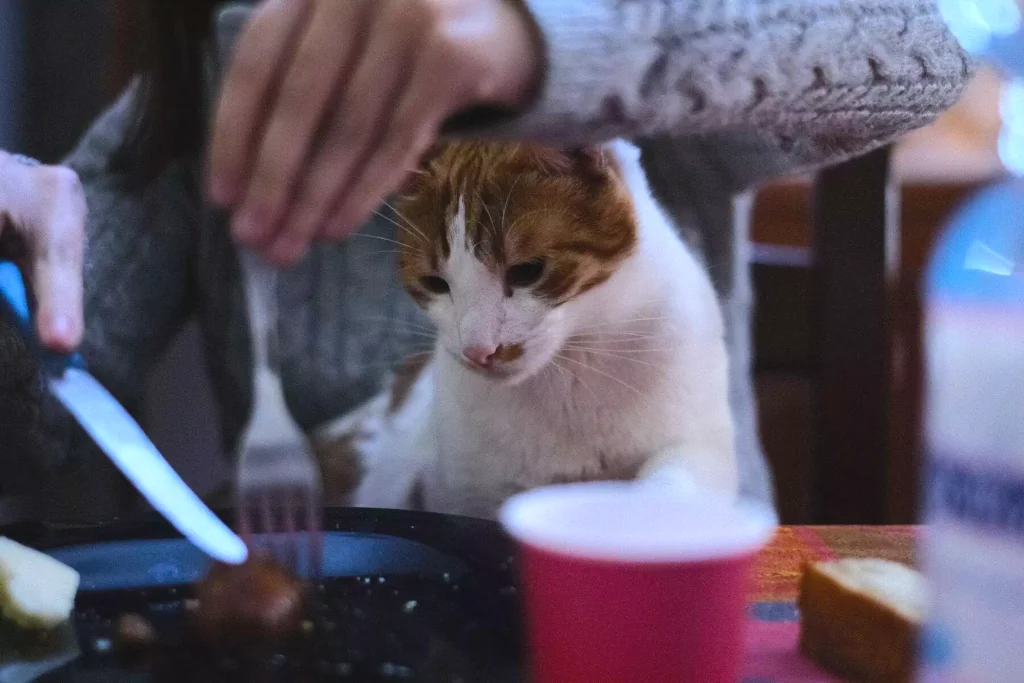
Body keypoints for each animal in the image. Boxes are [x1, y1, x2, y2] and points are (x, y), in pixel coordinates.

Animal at [311, 140, 737, 524]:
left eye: (527, 271)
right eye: (434, 283)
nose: (478, 351)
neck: (570, 370)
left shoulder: (701, 441)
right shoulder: (466, 487)